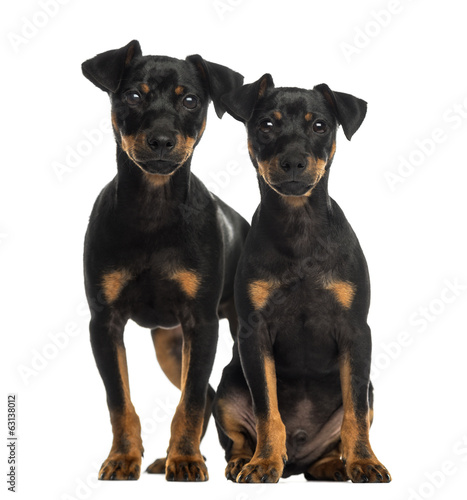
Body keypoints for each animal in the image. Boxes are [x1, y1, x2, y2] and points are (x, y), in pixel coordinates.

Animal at [81, 42, 249, 480]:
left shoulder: (201, 323)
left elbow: (189, 402)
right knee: (208, 391)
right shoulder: (104, 322)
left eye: (190, 100)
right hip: (169, 345)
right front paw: (123, 458)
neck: (153, 211)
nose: (160, 140)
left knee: (211, 393)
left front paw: (186, 460)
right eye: (132, 96)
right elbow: (119, 401)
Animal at [214, 72, 394, 482]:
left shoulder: (355, 331)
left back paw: (334, 467)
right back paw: (245, 462)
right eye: (266, 125)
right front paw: (264, 462)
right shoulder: (254, 334)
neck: (299, 227)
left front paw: (365, 462)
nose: (294, 161)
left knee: (337, 434)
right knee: (238, 437)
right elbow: (268, 410)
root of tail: (296, 462)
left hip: (369, 391)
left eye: (320, 126)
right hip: (226, 390)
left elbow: (355, 414)